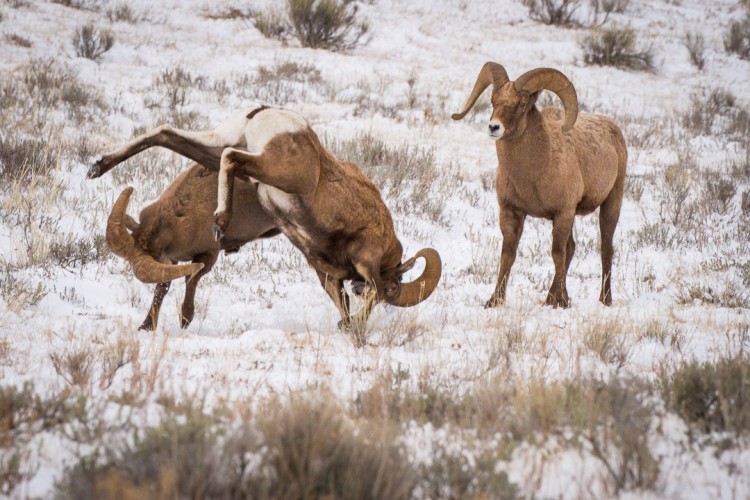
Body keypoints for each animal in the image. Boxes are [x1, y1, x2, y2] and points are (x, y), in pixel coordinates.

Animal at [106, 162, 280, 330]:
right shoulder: (171, 260)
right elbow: (162, 287)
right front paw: (146, 326)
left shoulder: (209, 254)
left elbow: (191, 279)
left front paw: (185, 319)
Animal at [452, 60, 628, 306]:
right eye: (493, 101)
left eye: (522, 104)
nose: (494, 127)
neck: (534, 173)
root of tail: (613, 130)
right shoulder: (511, 211)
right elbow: (508, 254)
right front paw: (495, 301)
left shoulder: (563, 213)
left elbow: (557, 253)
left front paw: (560, 303)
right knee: (572, 248)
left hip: (611, 203)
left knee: (605, 249)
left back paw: (604, 300)